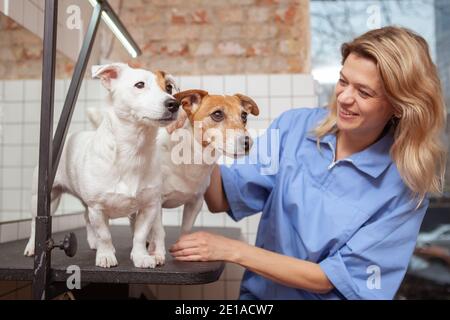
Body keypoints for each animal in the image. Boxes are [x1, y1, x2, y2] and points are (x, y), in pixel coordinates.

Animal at [24, 62, 179, 268]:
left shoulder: (149, 207)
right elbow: (105, 234)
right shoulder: (97, 207)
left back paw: (93, 242)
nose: (174, 104)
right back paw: (33, 247)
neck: (133, 150)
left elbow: (139, 235)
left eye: (168, 88)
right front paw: (106, 255)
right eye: (139, 85)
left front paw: (141, 256)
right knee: (35, 222)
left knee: (86, 218)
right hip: (45, 197)